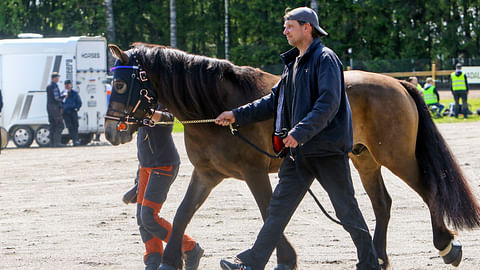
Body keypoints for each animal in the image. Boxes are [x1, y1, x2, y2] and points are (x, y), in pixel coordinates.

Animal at [105, 43, 480, 268]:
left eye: (122, 85)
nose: (111, 132)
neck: (216, 110)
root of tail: (397, 83)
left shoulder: (253, 172)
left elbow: (269, 211)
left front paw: (282, 257)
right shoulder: (207, 174)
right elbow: (183, 213)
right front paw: (170, 259)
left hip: (396, 156)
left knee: (429, 190)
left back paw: (446, 246)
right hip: (364, 158)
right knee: (382, 204)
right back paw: (379, 257)